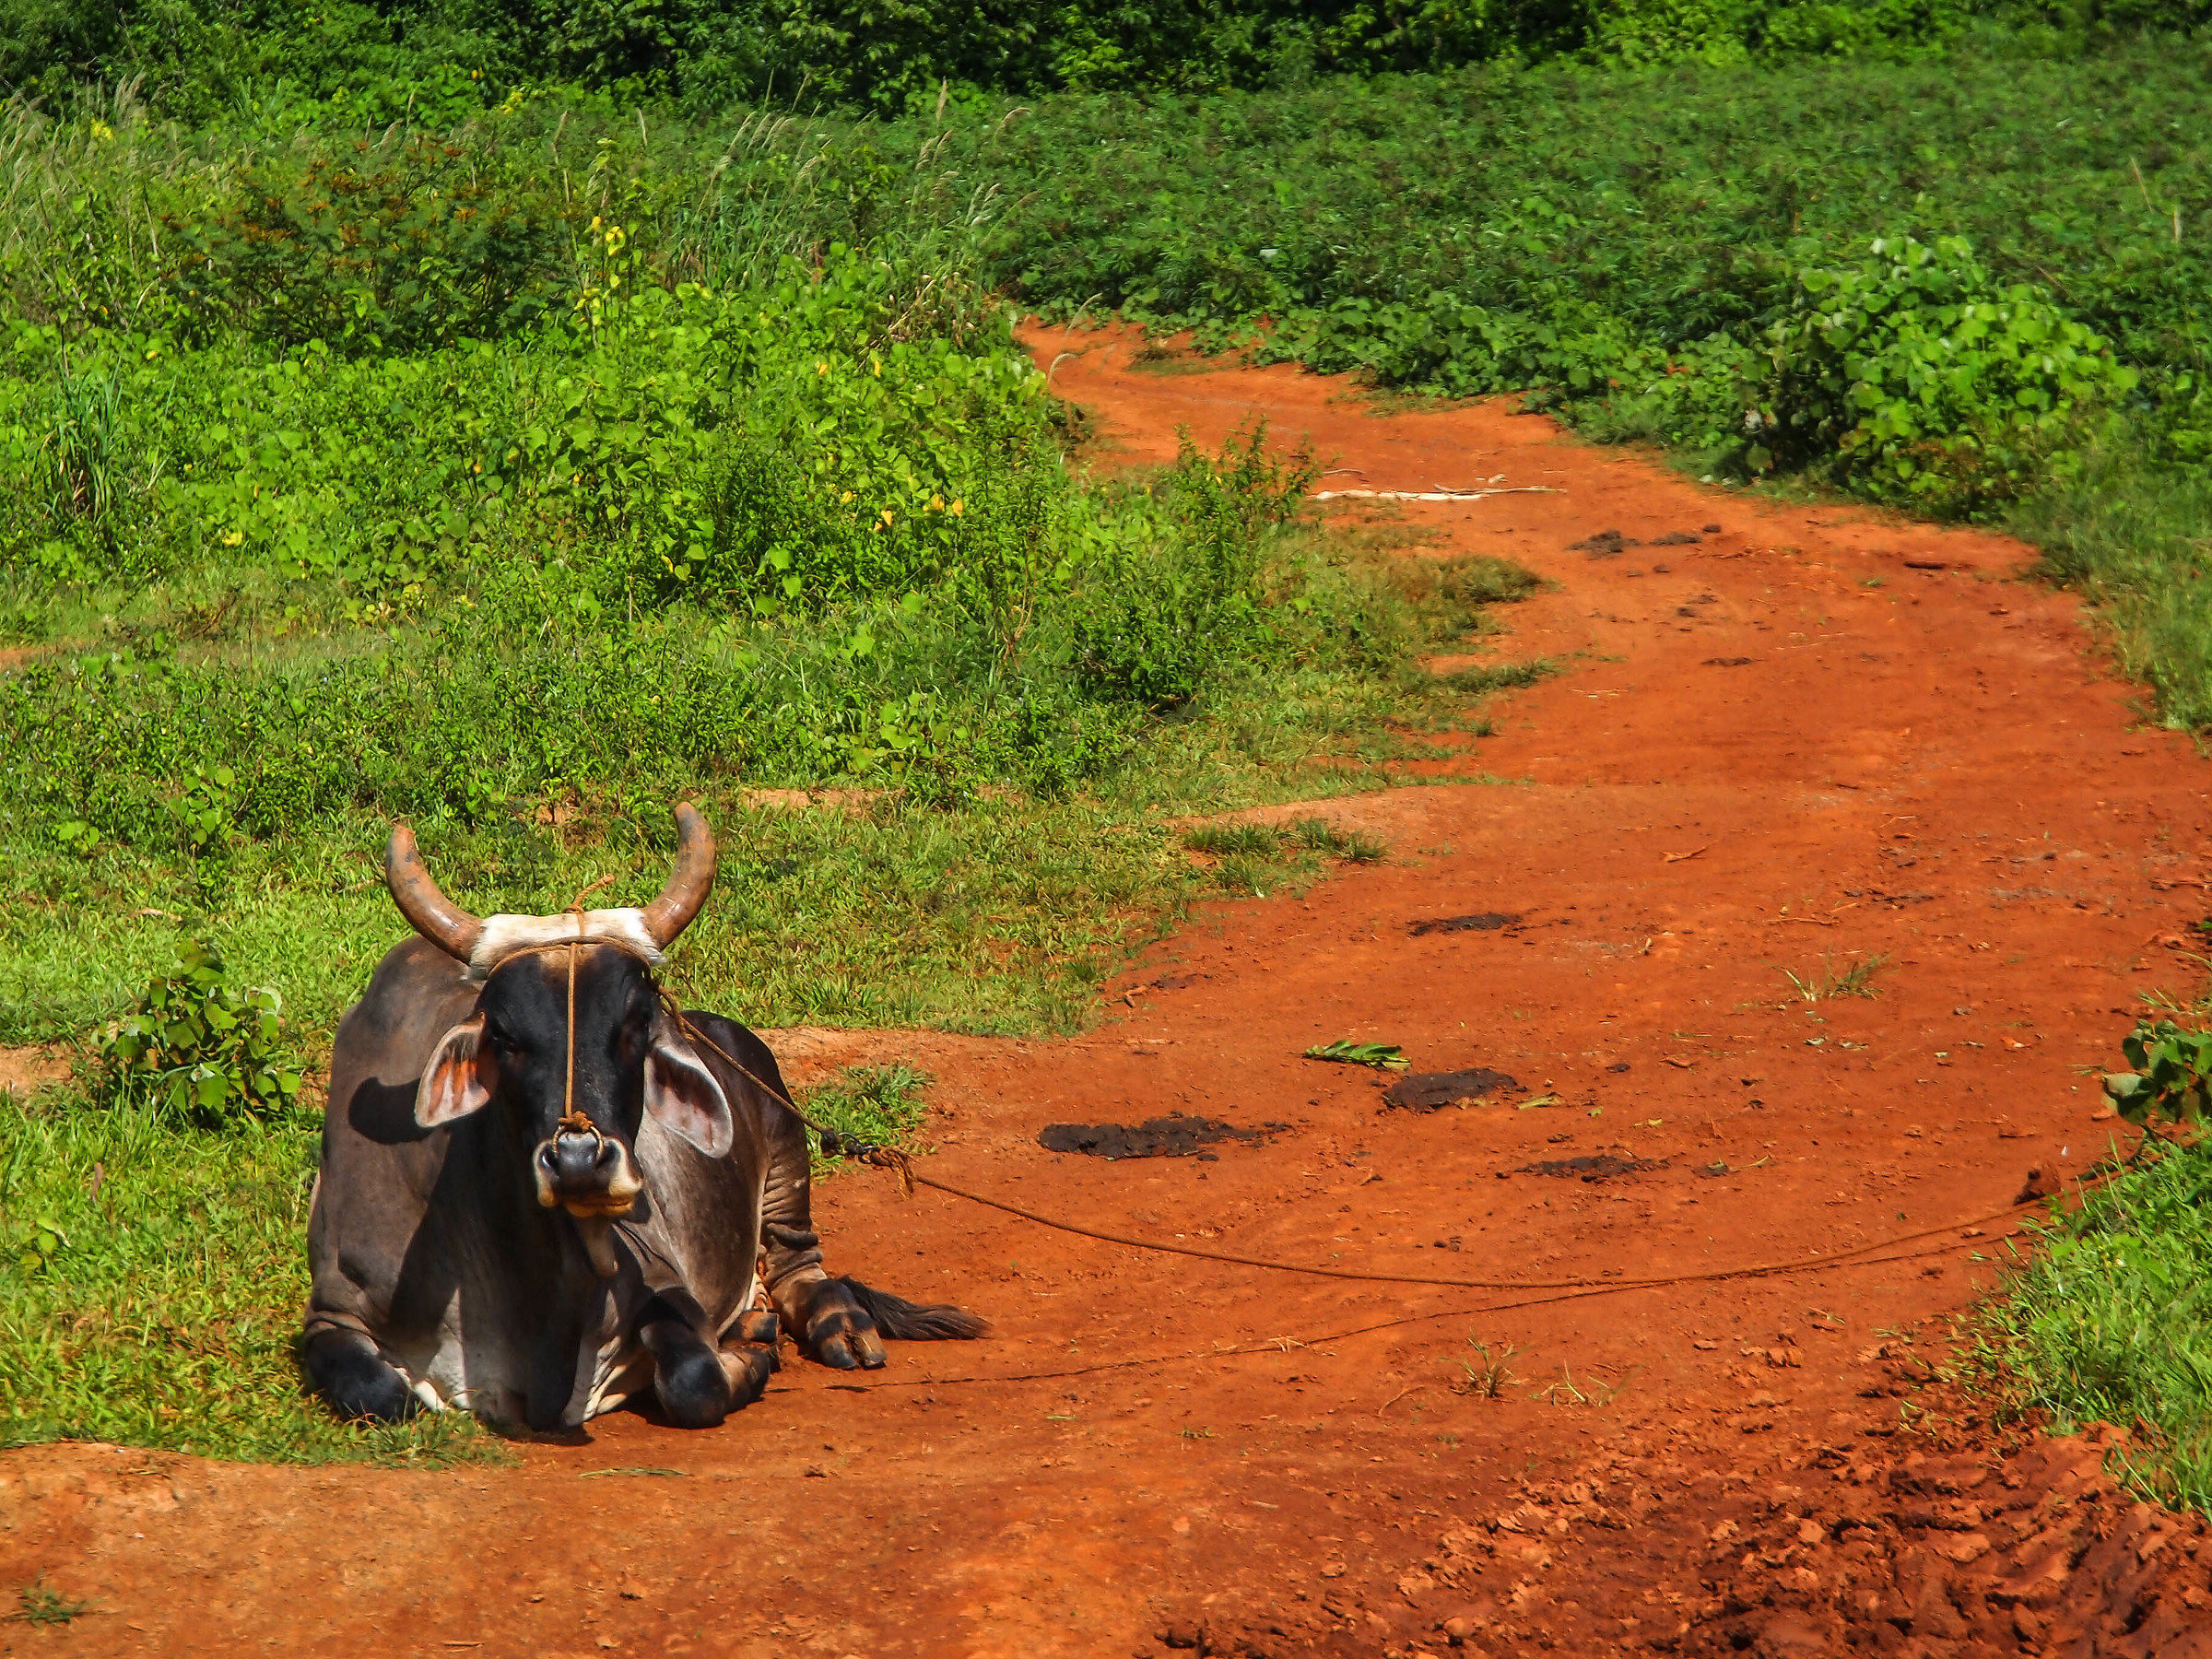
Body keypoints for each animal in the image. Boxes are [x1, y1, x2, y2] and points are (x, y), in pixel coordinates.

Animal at [301, 802, 982, 1431]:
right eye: (504, 1035)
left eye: (635, 1022)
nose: (580, 1161)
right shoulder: (333, 1309)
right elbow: (382, 1396)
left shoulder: (659, 1276)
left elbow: (694, 1381)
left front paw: (750, 1355)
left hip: (785, 1151)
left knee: (801, 1269)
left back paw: (831, 1325)